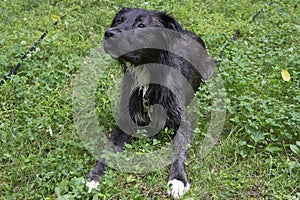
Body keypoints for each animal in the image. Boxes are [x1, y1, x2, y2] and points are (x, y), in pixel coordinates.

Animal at [86, 7, 216, 198]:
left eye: (141, 25)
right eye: (118, 21)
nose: (109, 33)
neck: (146, 80)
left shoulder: (183, 122)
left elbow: (179, 152)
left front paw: (177, 179)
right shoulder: (125, 121)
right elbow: (108, 150)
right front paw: (94, 176)